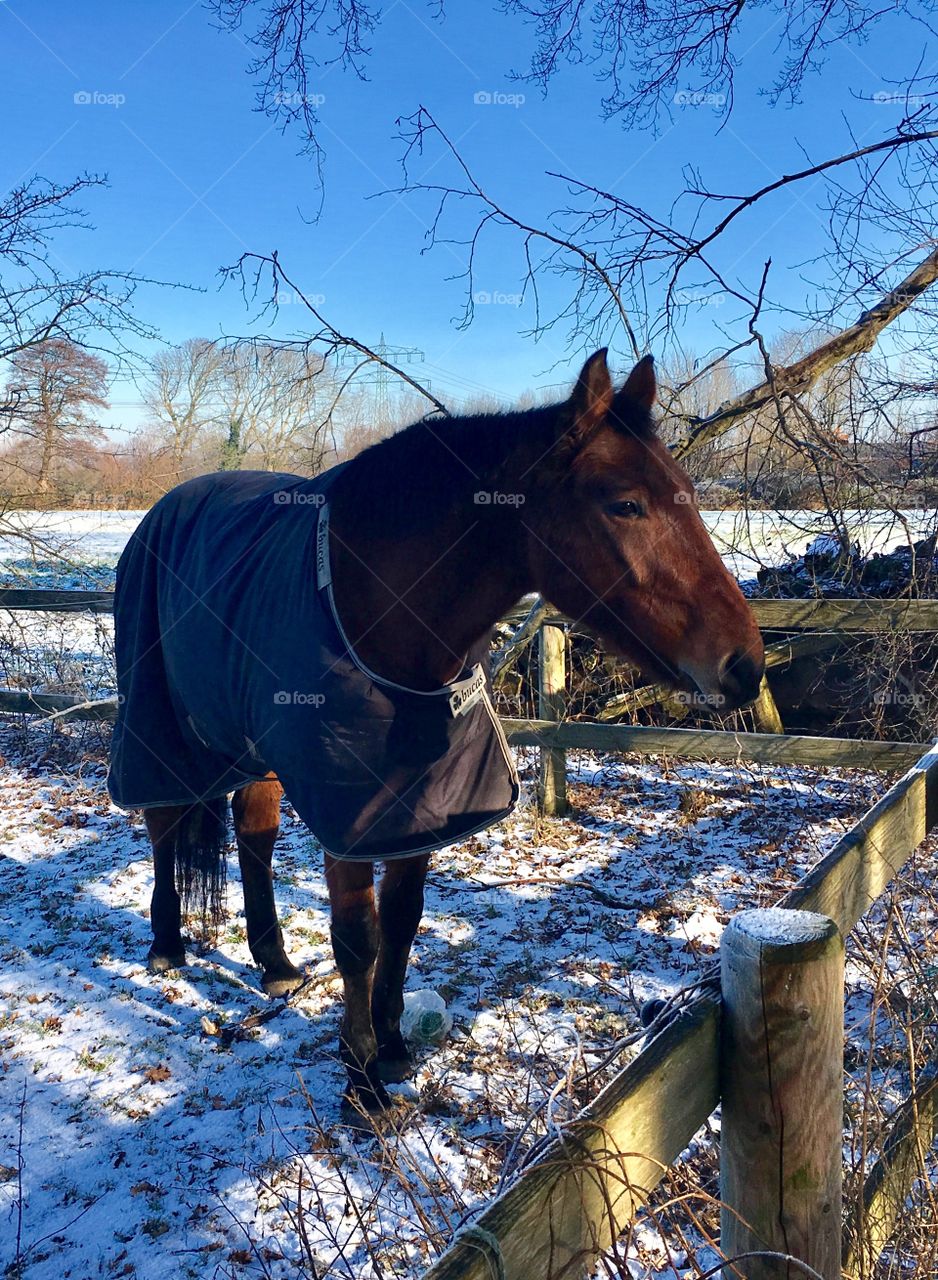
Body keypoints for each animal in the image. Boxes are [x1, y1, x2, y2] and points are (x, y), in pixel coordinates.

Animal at [108, 350, 762, 1111]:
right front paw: (362, 1082)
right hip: (156, 723)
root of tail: (162, 511)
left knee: (255, 836)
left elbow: (402, 919)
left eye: (687, 492)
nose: (745, 664)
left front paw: (392, 1050)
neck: (375, 604)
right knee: (162, 822)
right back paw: (166, 944)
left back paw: (273, 961)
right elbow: (357, 937)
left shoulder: (416, 807)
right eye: (624, 503)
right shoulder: (352, 814)